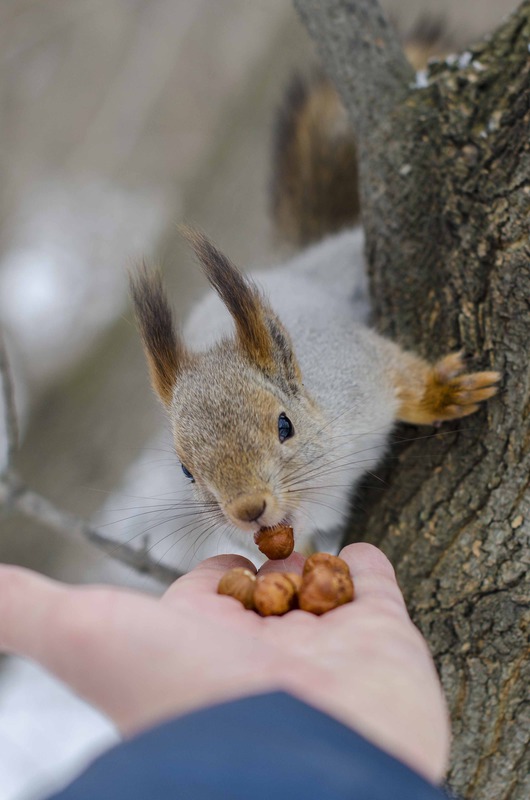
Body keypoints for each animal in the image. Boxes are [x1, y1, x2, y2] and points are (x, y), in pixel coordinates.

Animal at [129, 53, 500, 560]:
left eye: (284, 425)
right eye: (186, 471)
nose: (248, 509)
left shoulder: (358, 373)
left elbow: (400, 374)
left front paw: (444, 394)